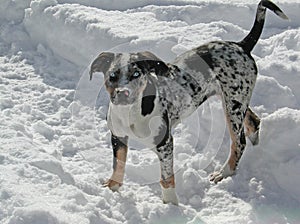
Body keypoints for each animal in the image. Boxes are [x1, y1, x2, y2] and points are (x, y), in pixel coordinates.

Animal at [89, 0, 288, 205]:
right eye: (112, 76)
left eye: (137, 73)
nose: (122, 94)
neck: (131, 112)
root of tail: (241, 45)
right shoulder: (118, 137)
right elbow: (118, 165)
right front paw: (112, 188)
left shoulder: (165, 144)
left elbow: (166, 178)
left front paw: (170, 205)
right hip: (235, 98)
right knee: (253, 121)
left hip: (233, 105)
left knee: (239, 142)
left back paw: (224, 173)